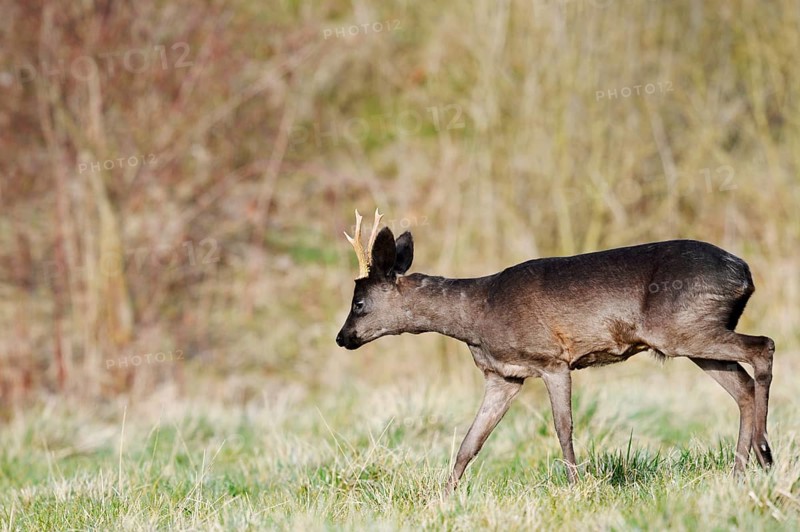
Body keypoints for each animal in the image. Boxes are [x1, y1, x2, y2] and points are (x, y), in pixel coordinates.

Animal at [335, 209, 775, 493]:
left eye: (359, 302)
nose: (342, 338)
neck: (477, 315)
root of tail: (746, 274)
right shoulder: (504, 375)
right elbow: (471, 441)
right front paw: (442, 498)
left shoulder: (552, 359)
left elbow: (563, 428)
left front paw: (575, 488)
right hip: (694, 334)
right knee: (742, 388)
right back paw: (739, 474)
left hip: (682, 329)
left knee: (763, 348)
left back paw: (765, 454)